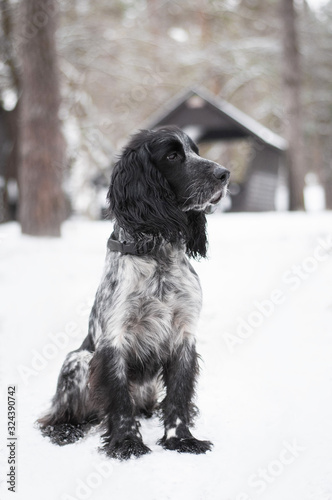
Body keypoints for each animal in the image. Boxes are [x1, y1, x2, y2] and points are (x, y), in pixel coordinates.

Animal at [39, 127, 230, 458]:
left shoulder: (184, 335)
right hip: (77, 359)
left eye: (195, 151)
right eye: (172, 155)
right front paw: (127, 442)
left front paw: (181, 439)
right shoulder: (113, 341)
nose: (224, 174)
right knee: (59, 415)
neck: (157, 254)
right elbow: (118, 398)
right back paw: (66, 430)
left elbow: (178, 395)